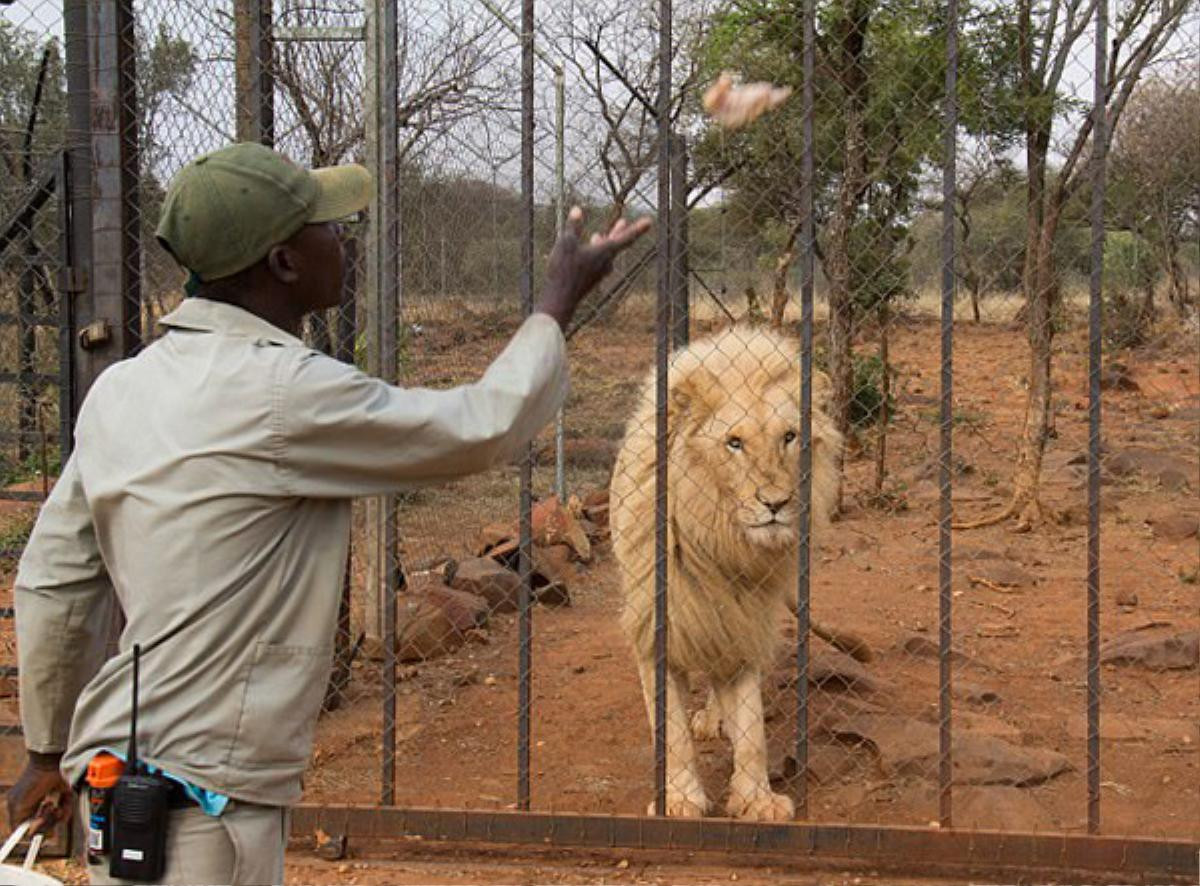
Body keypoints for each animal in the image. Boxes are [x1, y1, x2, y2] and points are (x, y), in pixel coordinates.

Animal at [614, 326, 840, 821]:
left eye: (789, 436)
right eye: (734, 442)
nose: (776, 503)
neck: (717, 541)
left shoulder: (744, 618)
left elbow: (752, 726)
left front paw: (757, 798)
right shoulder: (656, 625)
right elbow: (673, 734)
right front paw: (679, 799)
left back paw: (718, 719)